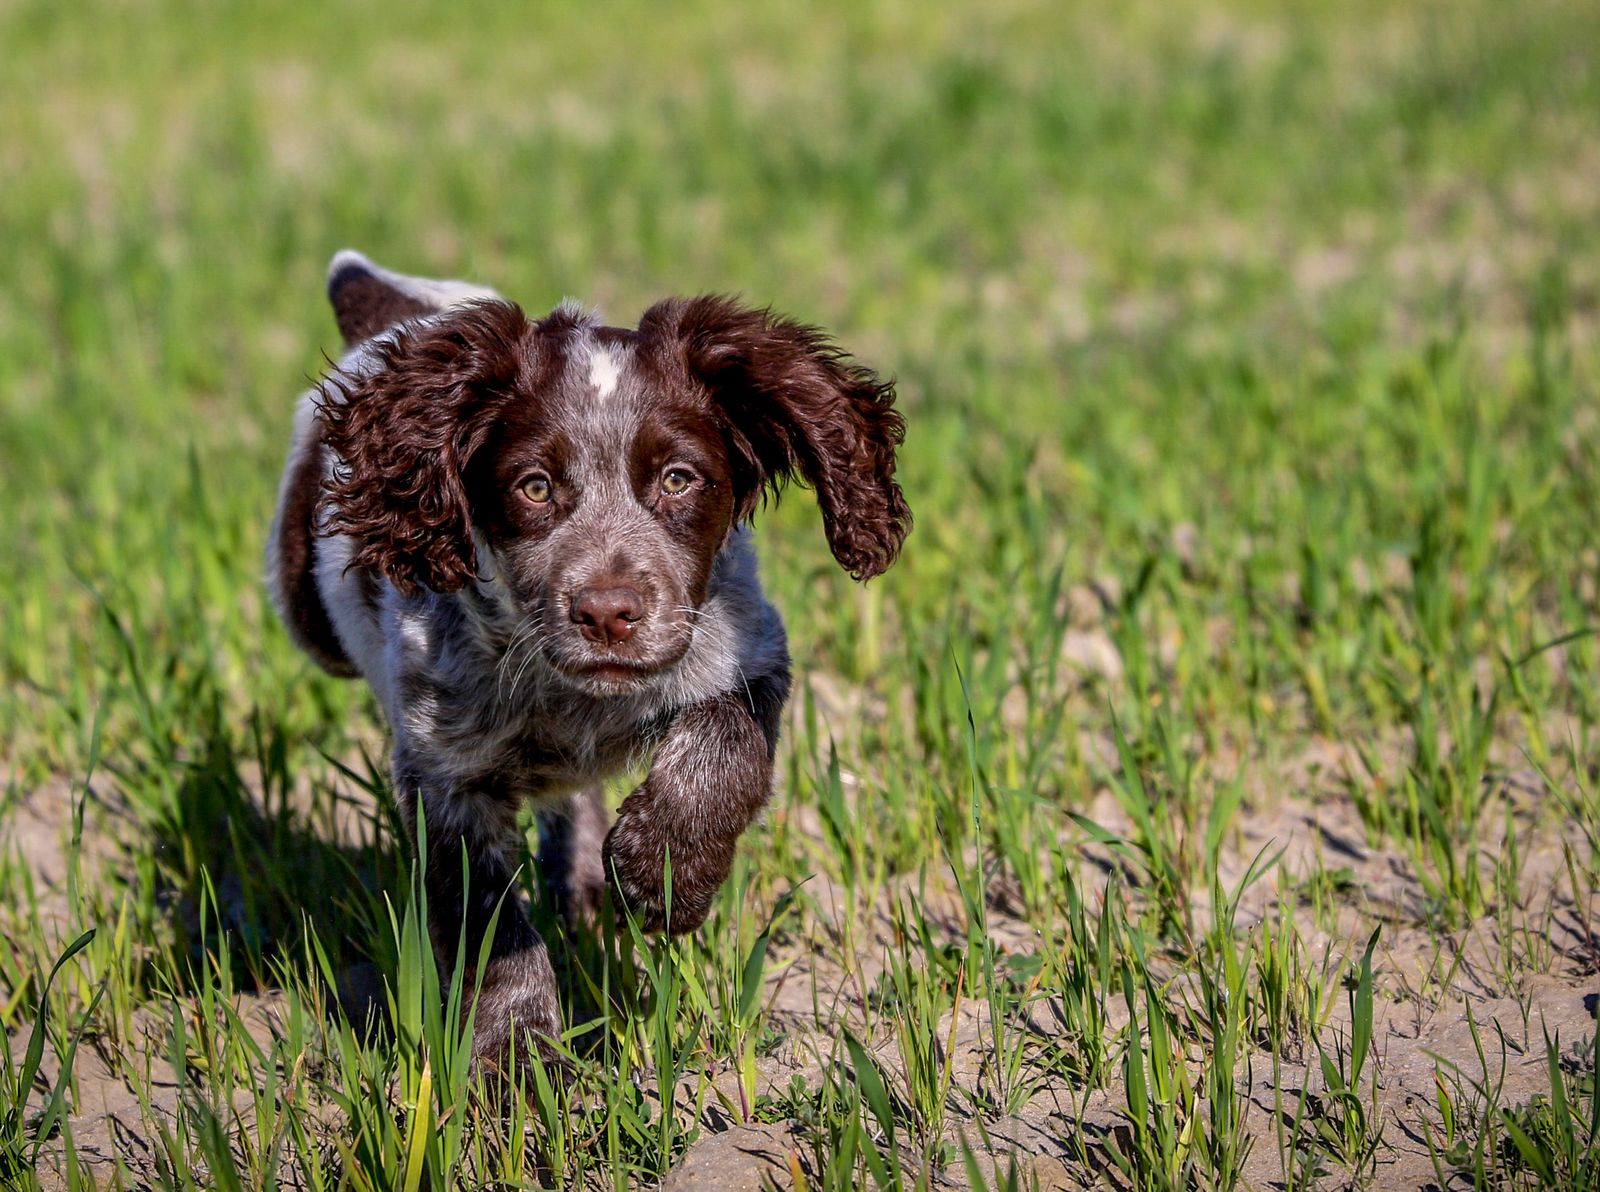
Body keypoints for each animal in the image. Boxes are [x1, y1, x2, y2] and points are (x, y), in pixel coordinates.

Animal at [268, 248, 908, 1062]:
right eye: (535, 487)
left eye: (678, 479)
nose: (607, 613)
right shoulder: (446, 774)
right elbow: (489, 927)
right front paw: (516, 1059)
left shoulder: (752, 652)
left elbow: (726, 751)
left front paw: (662, 871)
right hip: (307, 614)